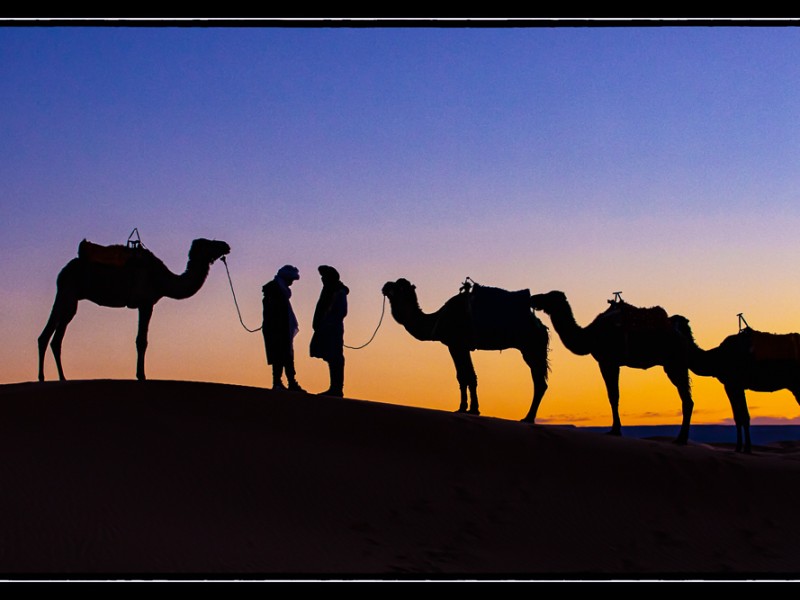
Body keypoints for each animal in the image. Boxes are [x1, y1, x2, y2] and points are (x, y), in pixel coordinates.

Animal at [38, 237, 231, 382]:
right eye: (210, 243)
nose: (226, 246)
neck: (161, 279)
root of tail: (63, 271)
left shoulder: (144, 304)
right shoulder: (146, 303)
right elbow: (142, 341)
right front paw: (142, 376)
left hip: (66, 296)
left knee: (50, 336)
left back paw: (52, 377)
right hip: (69, 293)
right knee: (52, 336)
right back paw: (53, 377)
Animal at [378, 278, 548, 420]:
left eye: (399, 287)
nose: (385, 285)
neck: (437, 319)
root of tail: (541, 326)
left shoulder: (456, 344)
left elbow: (467, 376)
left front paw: (471, 409)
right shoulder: (459, 346)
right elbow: (465, 376)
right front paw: (465, 408)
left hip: (532, 347)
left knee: (540, 383)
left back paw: (528, 418)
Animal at [532, 290, 692, 446]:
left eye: (549, 295)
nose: (534, 298)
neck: (589, 335)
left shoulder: (607, 361)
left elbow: (613, 395)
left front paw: (615, 430)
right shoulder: (612, 363)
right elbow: (614, 395)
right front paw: (615, 429)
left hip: (674, 363)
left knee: (687, 398)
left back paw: (681, 439)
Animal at [676, 318, 800, 454]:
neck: (716, 358)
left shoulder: (733, 384)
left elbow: (742, 416)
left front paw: (743, 448)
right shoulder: (735, 386)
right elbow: (740, 417)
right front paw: (741, 448)